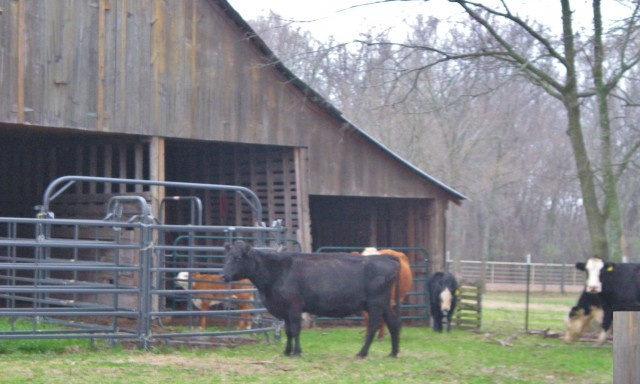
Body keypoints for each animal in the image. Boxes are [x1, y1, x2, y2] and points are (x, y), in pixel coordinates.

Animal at [220, 240, 400, 356]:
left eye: (237, 258)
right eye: (226, 257)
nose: (223, 276)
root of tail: (385, 257)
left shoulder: (294, 305)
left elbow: (295, 329)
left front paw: (297, 352)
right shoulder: (284, 309)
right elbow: (288, 331)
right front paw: (287, 351)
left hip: (375, 304)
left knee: (374, 325)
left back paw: (362, 353)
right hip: (384, 303)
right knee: (393, 323)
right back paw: (393, 352)